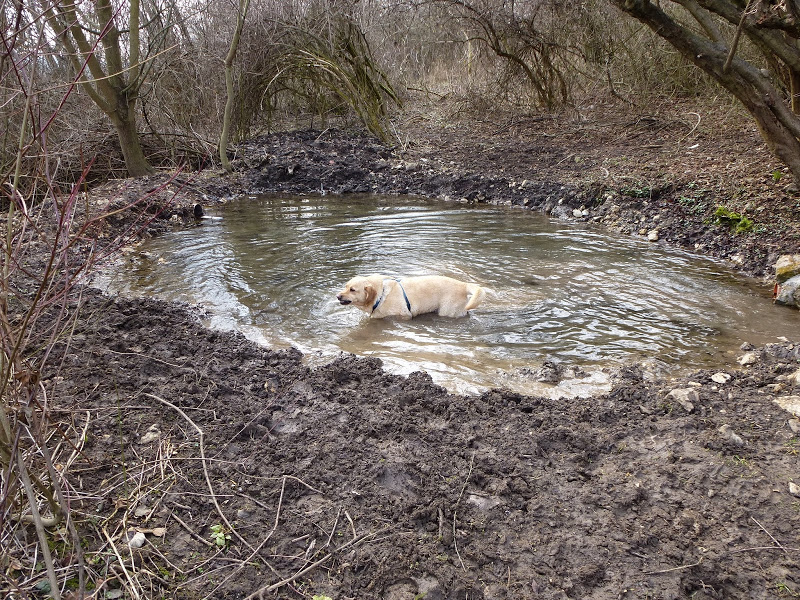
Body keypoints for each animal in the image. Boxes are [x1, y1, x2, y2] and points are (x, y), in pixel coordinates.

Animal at [336, 274, 484, 318]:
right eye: (345, 286)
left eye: (352, 289)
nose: (337, 296)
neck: (380, 295)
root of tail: (464, 285)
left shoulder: (404, 315)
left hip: (447, 311)